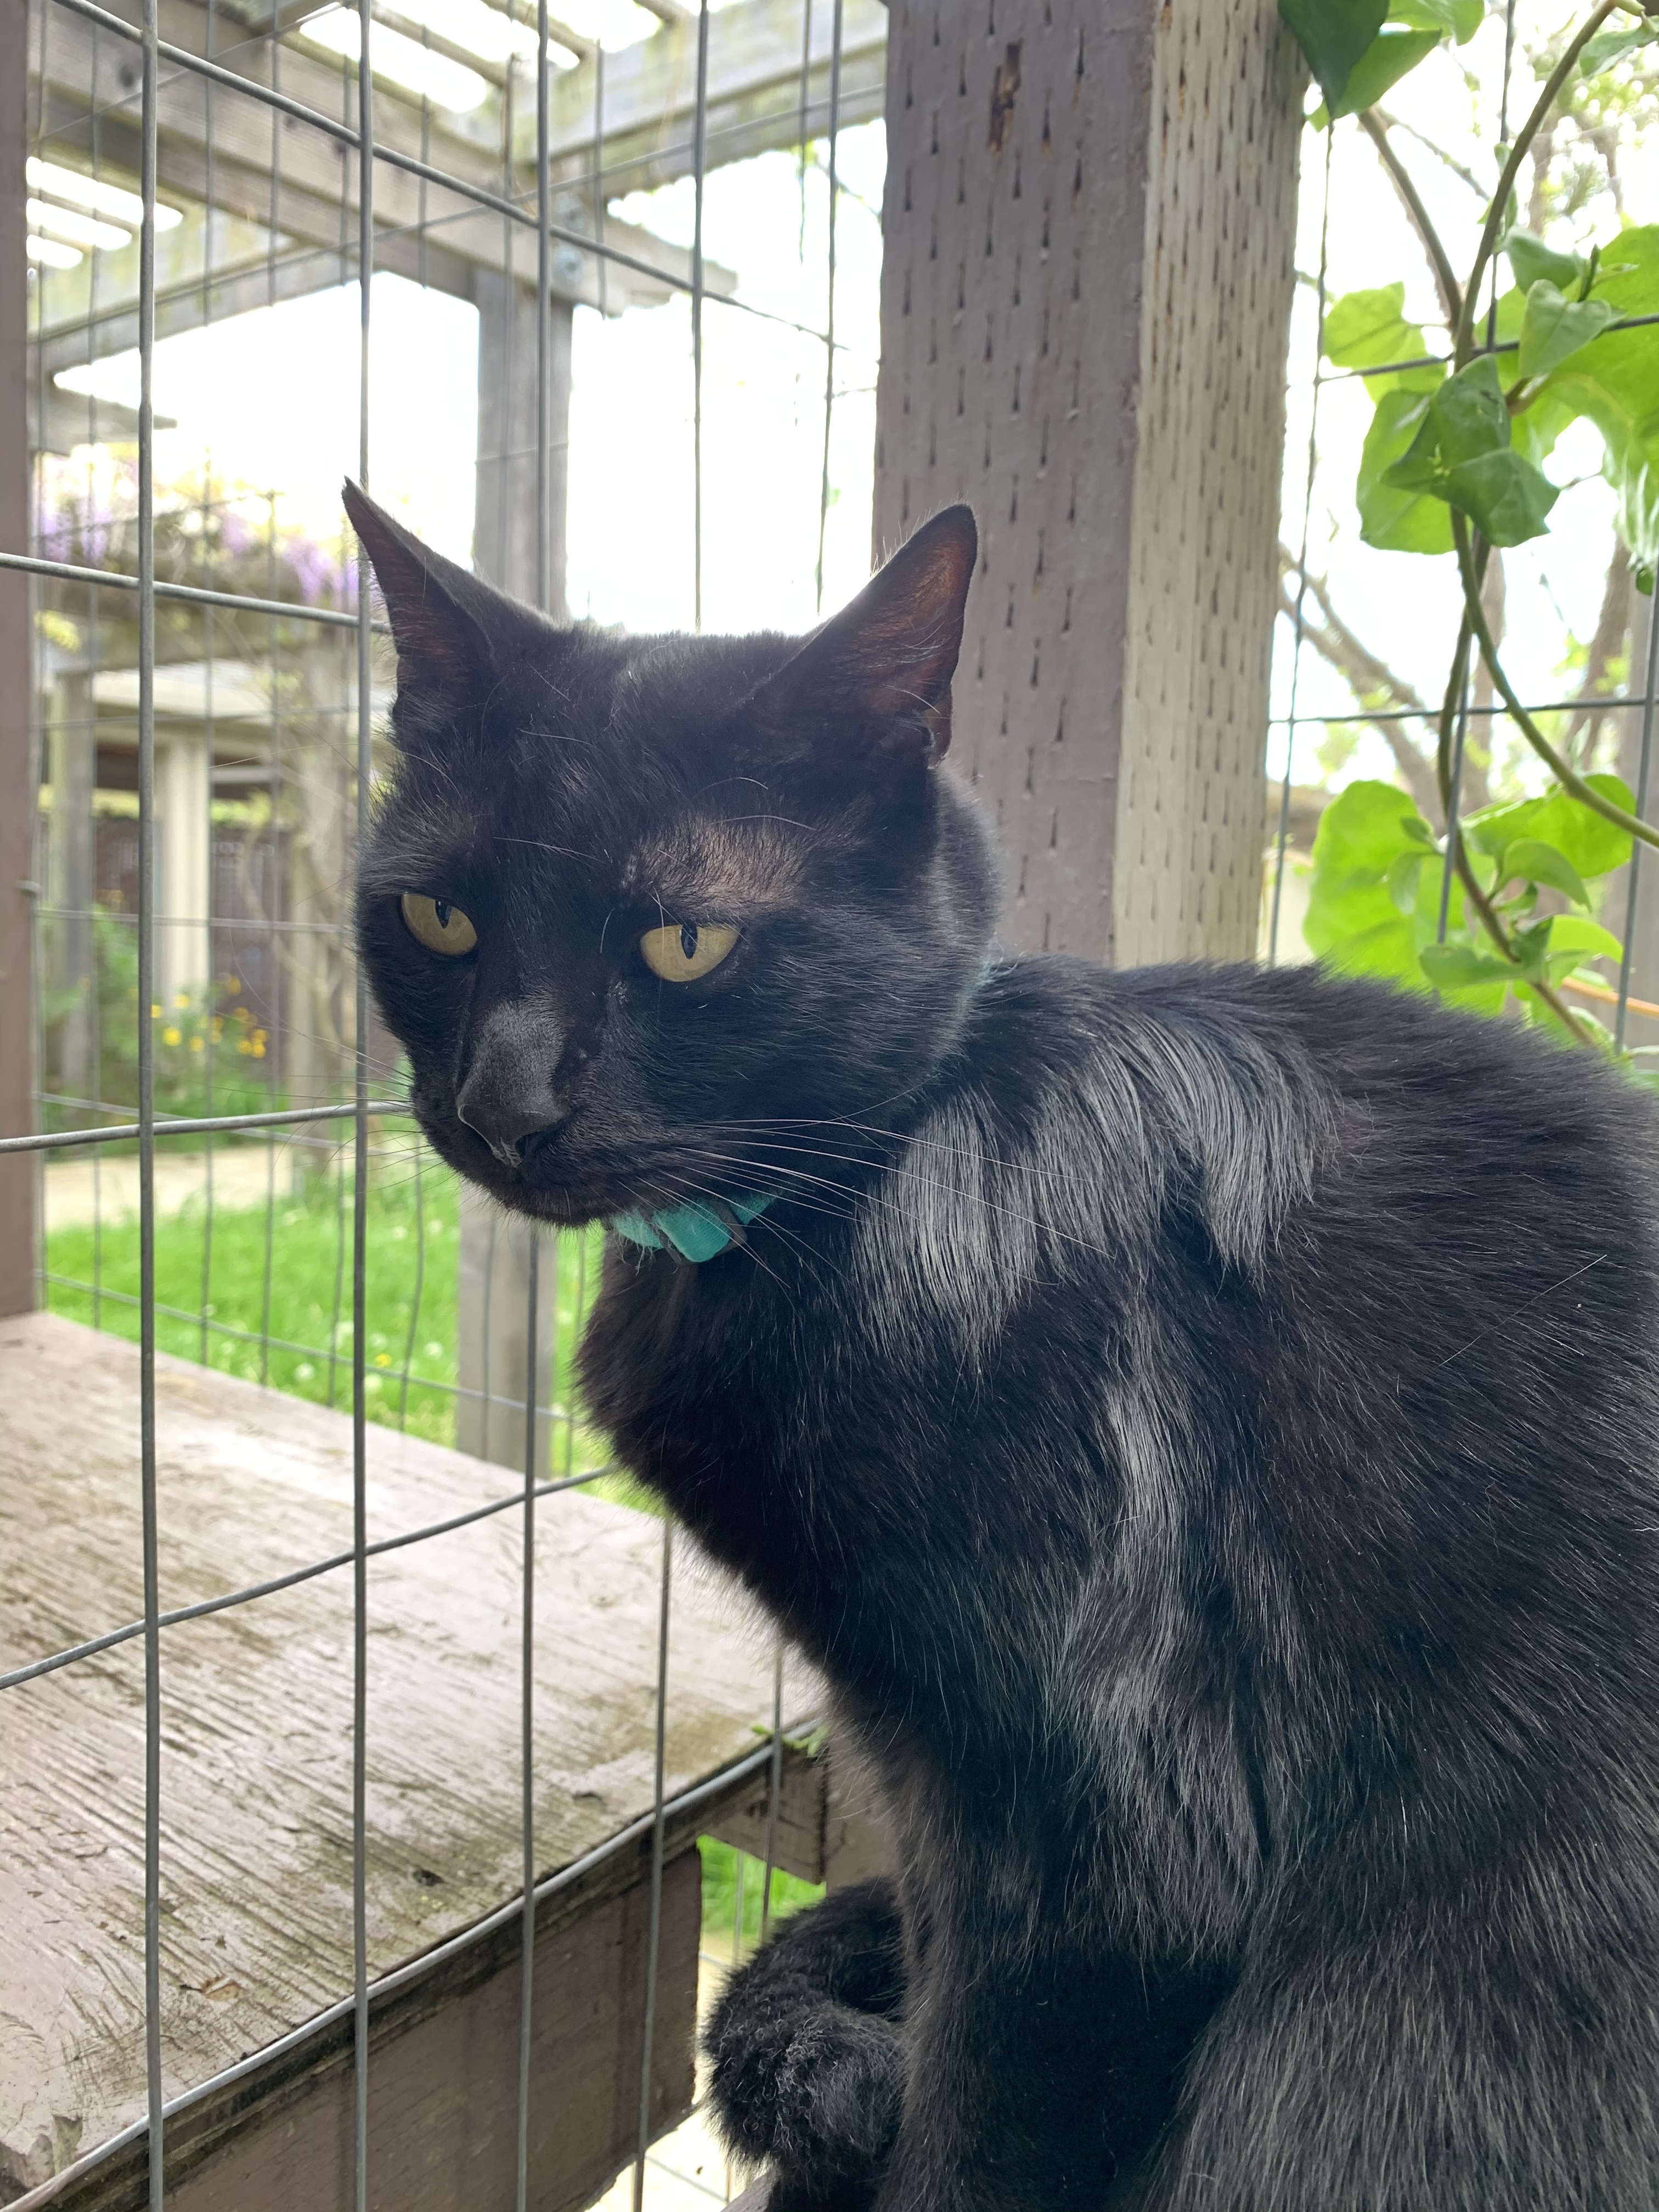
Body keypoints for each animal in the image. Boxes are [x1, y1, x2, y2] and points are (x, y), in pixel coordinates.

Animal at [347, 489, 1659, 2212]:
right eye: (439, 918)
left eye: (687, 944)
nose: (501, 1107)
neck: (894, 1171)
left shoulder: (1110, 1861)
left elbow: (975, 2147)